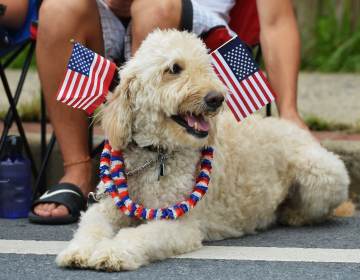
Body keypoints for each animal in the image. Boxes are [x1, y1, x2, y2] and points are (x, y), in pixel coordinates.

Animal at [56, 30, 348, 272]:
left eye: (207, 68)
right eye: (174, 68)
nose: (216, 98)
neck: (156, 154)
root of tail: (296, 129)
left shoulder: (180, 224)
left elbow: (138, 235)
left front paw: (113, 253)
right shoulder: (106, 207)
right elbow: (91, 226)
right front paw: (79, 251)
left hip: (323, 175)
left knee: (318, 209)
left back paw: (292, 214)